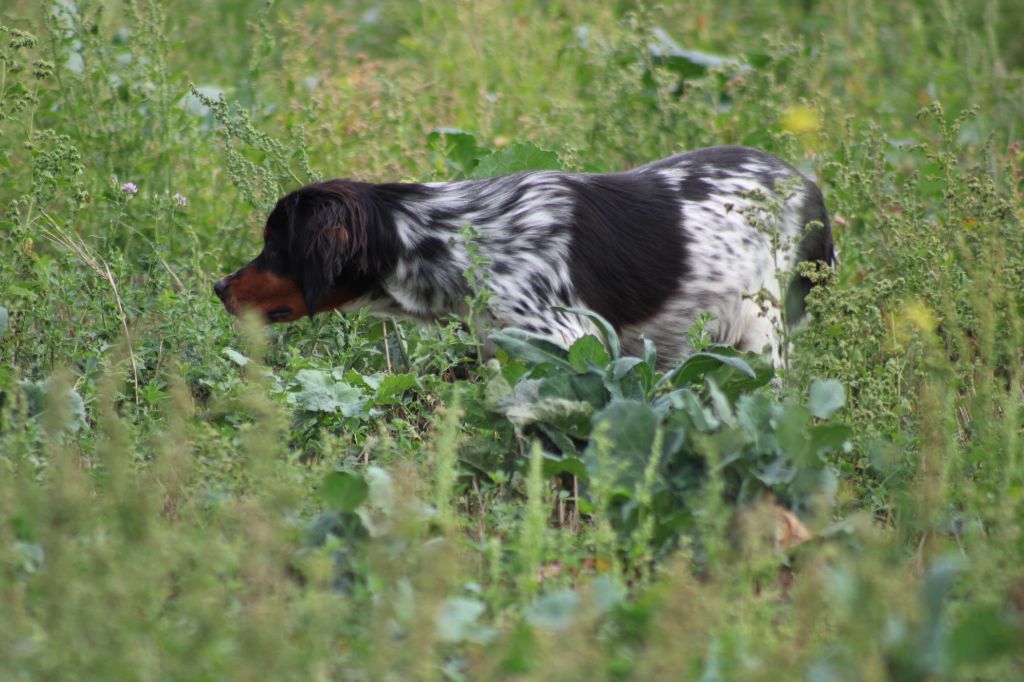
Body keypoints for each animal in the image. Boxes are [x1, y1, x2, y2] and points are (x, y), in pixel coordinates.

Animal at [214, 144, 831, 366]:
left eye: (274, 245)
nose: (219, 286)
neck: (454, 236)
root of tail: (802, 181)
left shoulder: (564, 340)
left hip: (761, 333)